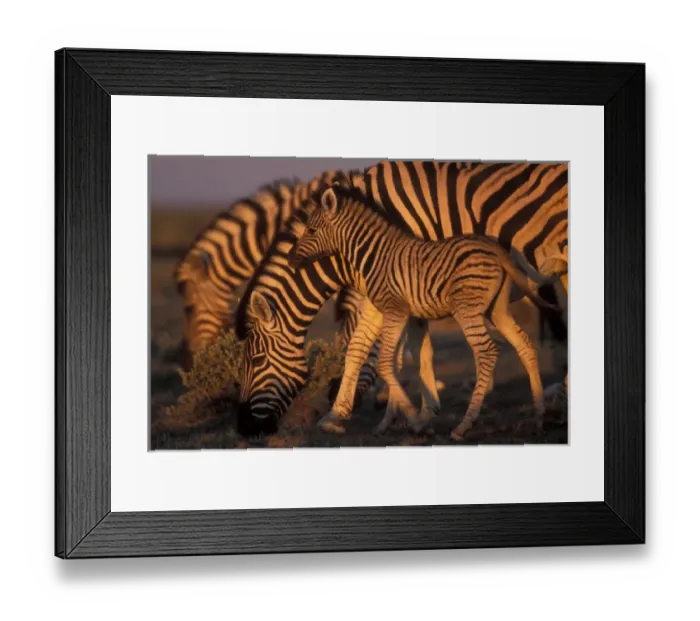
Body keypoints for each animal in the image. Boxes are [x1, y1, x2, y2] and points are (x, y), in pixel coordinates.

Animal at [235, 160, 568, 435]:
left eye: (256, 360)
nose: (245, 429)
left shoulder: (407, 284)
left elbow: (404, 353)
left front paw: (413, 414)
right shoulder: (384, 293)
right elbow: (363, 348)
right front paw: (340, 414)